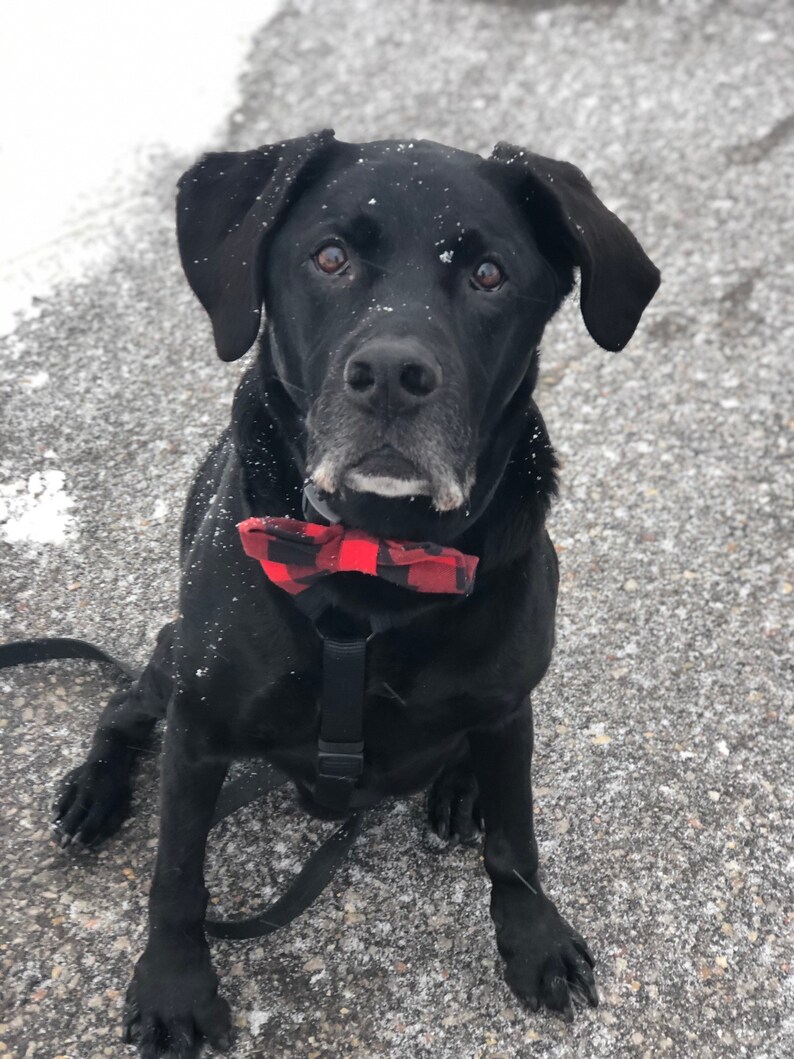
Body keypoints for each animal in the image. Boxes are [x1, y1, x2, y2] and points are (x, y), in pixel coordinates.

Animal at [54, 134, 660, 1059]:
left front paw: (534, 940)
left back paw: (459, 787)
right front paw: (172, 987)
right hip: (170, 661)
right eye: (330, 256)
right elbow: (177, 871)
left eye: (489, 274)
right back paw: (94, 789)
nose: (390, 374)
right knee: (124, 702)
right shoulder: (200, 725)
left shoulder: (507, 702)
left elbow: (515, 840)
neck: (375, 566)